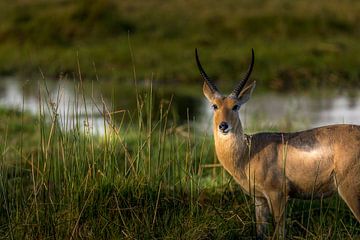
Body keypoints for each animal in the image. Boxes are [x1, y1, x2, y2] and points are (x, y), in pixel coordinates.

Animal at [195, 47, 360, 237]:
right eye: (214, 105)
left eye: (236, 106)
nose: (223, 125)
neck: (249, 153)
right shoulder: (259, 199)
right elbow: (260, 232)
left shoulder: (277, 194)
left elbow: (279, 232)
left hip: (350, 190)